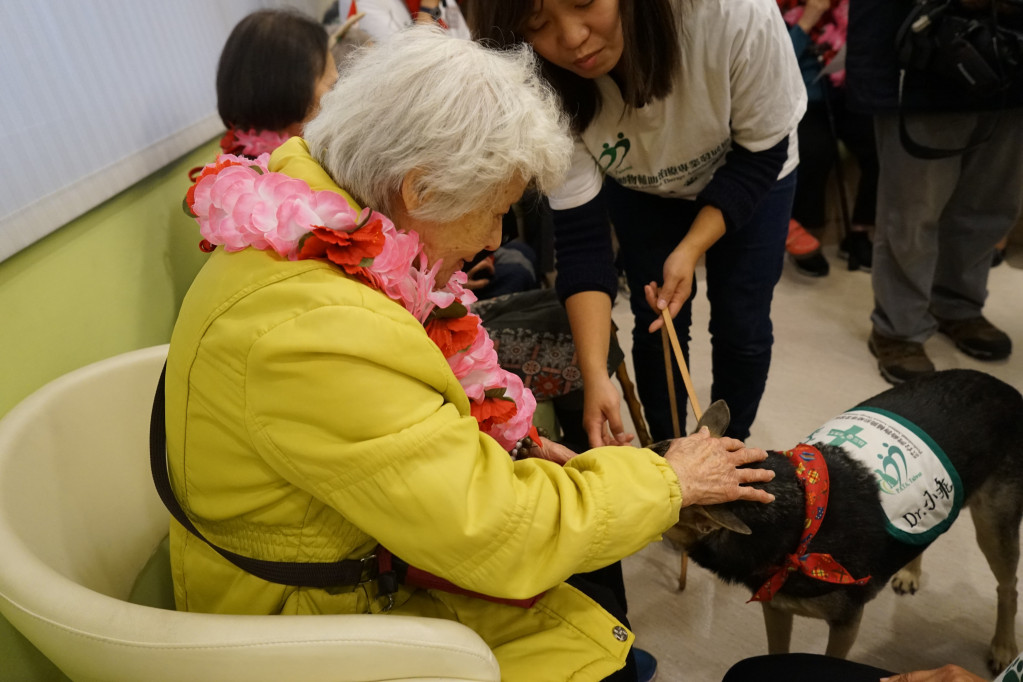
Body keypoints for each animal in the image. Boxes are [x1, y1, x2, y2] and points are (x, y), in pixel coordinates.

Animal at [654, 370, 1023, 674]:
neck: (802, 523)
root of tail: (1004, 388)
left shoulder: (846, 624)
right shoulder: (776, 608)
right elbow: (776, 649)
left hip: (993, 525)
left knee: (1008, 586)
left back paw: (1004, 647)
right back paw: (910, 571)